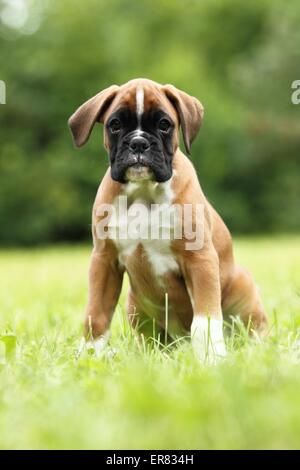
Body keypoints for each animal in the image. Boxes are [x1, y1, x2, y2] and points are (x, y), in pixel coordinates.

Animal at [68, 79, 268, 362]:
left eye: (164, 124)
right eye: (115, 124)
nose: (139, 143)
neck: (143, 191)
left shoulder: (200, 259)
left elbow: (205, 320)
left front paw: (211, 358)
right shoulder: (104, 261)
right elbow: (96, 315)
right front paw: (90, 355)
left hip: (243, 289)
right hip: (134, 304)